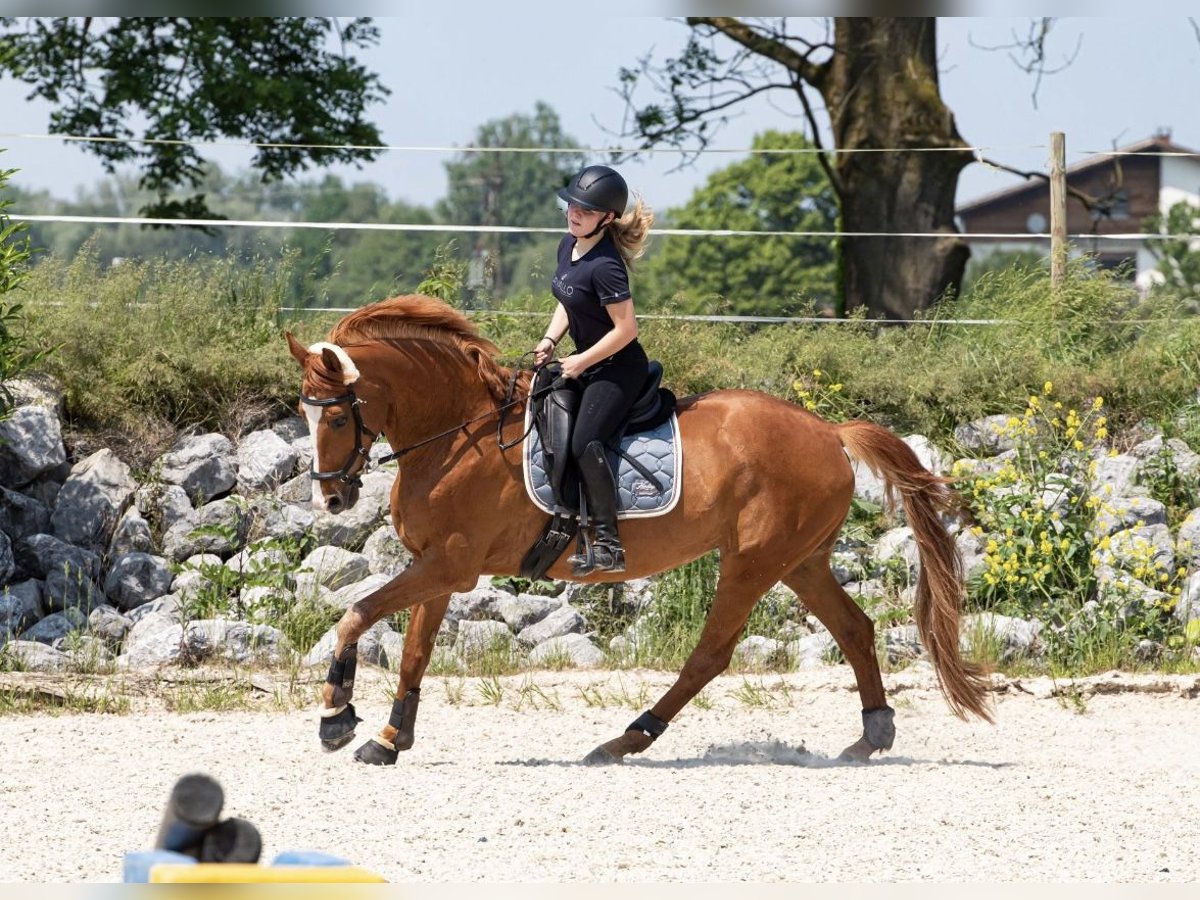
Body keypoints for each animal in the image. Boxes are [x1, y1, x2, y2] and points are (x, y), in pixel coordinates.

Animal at [285, 296, 988, 768]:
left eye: (338, 418)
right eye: (302, 413)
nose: (332, 497)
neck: (460, 437)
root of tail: (830, 431)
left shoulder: (449, 566)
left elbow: (356, 613)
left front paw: (336, 717)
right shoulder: (439, 568)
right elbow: (414, 652)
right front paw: (388, 739)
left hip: (754, 561)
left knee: (711, 654)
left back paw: (626, 738)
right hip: (801, 560)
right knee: (855, 629)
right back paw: (872, 735)